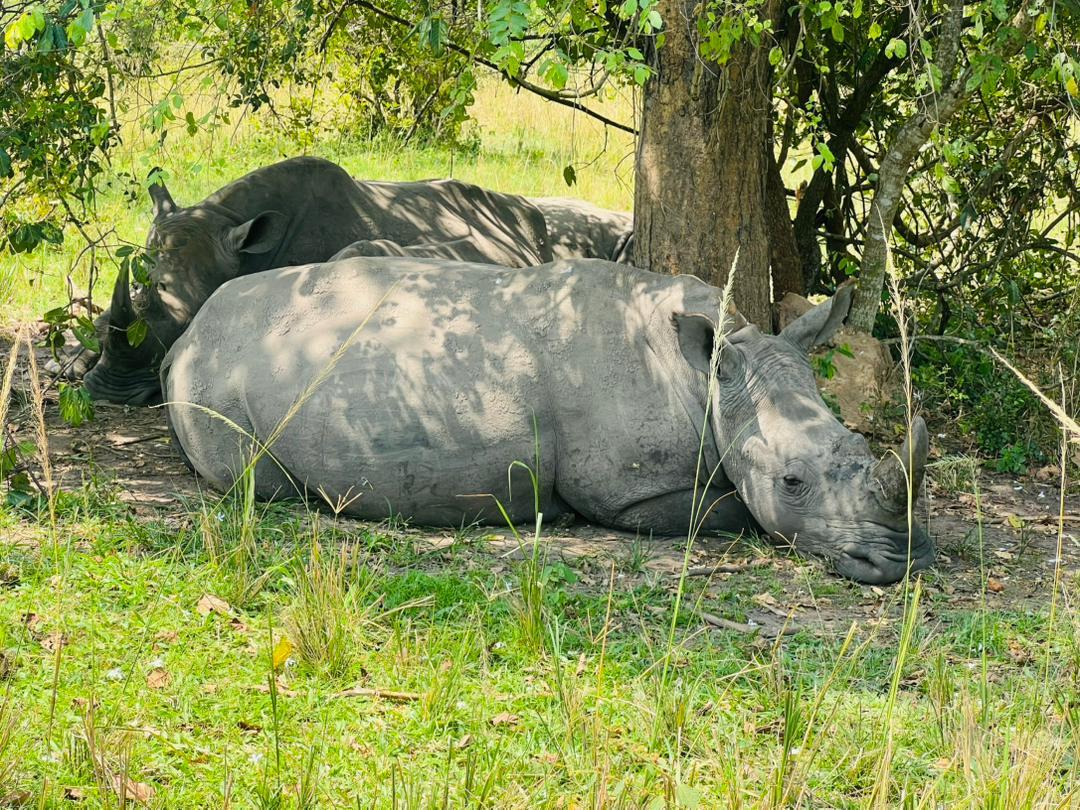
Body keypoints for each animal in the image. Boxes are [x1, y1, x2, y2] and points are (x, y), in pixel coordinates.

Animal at [163, 257, 935, 584]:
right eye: (792, 481)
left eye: (860, 440)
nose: (901, 560)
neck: (711, 381)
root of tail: (189, 328)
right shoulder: (623, 493)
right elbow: (735, 512)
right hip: (216, 373)